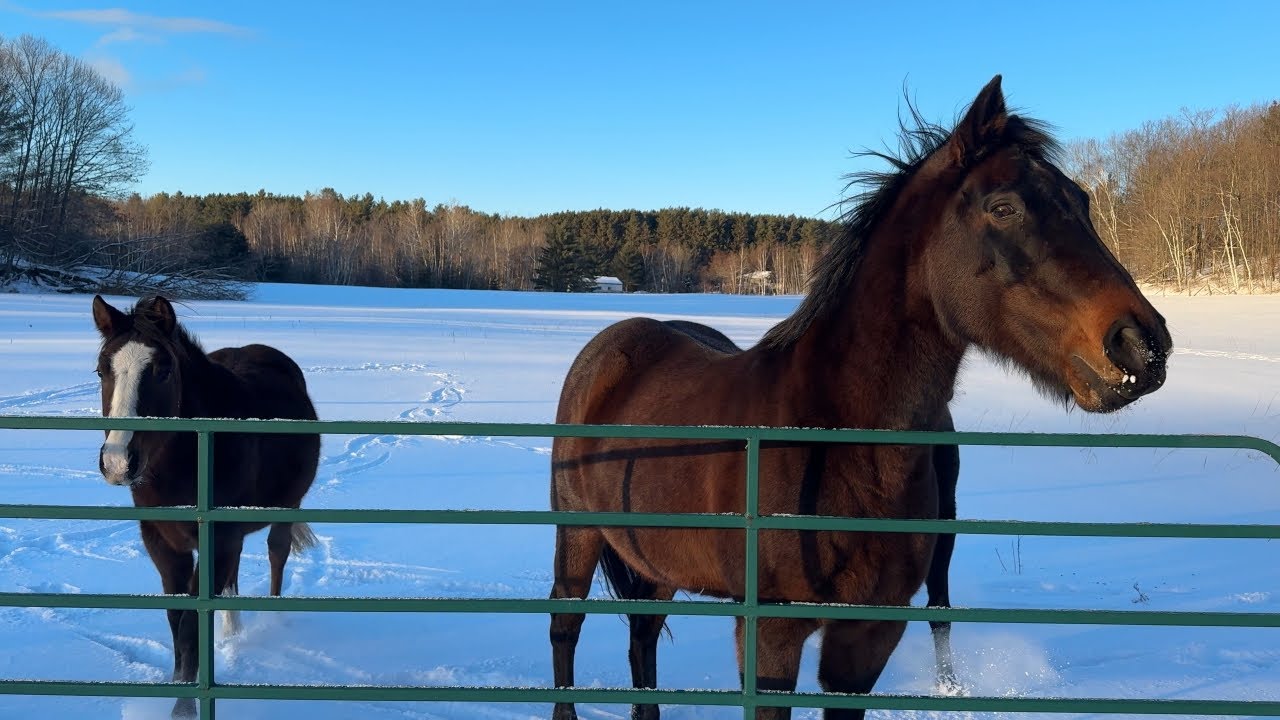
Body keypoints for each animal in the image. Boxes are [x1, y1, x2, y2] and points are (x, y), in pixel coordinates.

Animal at [91, 295, 321, 719]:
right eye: (102, 370)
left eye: (163, 371)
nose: (117, 462)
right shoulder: (164, 545)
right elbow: (177, 619)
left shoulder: (216, 539)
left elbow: (189, 628)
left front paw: (184, 708)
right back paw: (233, 631)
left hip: (284, 508)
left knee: (276, 553)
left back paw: (274, 618)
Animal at [548, 75, 1172, 720]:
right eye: (1004, 207)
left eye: (1083, 202)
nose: (1141, 346)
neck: (839, 444)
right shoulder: (771, 634)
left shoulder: (868, 636)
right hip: (577, 537)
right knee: (565, 629)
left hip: (654, 559)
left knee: (642, 636)